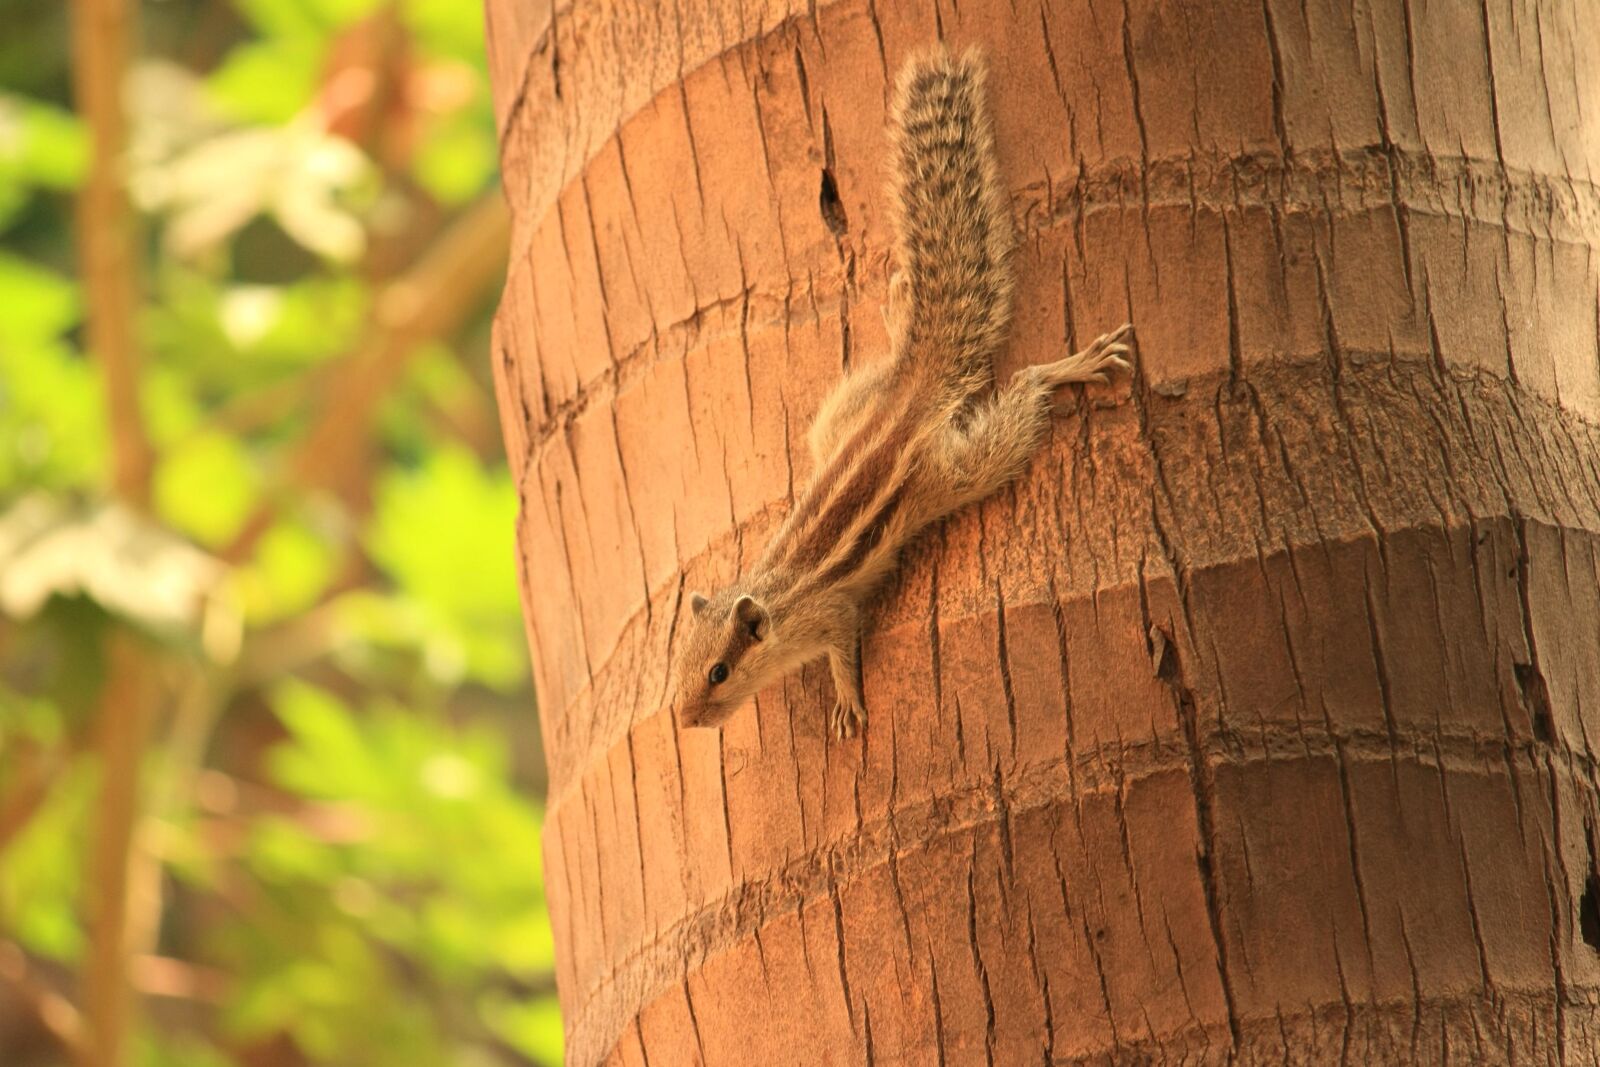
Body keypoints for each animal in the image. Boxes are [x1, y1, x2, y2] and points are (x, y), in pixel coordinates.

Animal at [670, 46, 1133, 739]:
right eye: (676, 670)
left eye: (718, 673)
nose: (684, 720)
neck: (778, 598)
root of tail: (908, 397)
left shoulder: (830, 616)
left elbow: (843, 651)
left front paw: (847, 704)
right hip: (838, 416)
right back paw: (898, 312)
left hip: (951, 473)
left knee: (1022, 393)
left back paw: (1071, 366)